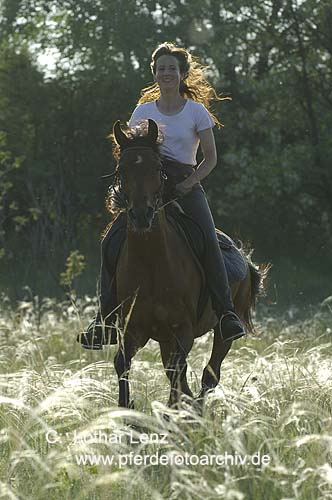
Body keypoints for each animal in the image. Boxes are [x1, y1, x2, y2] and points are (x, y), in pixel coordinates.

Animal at [108, 119, 268, 408]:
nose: (141, 215)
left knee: (209, 376)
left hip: (223, 331)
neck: (151, 265)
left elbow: (178, 375)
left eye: (157, 167)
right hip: (163, 339)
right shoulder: (134, 329)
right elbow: (122, 364)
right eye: (121, 169)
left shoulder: (182, 331)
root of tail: (243, 256)